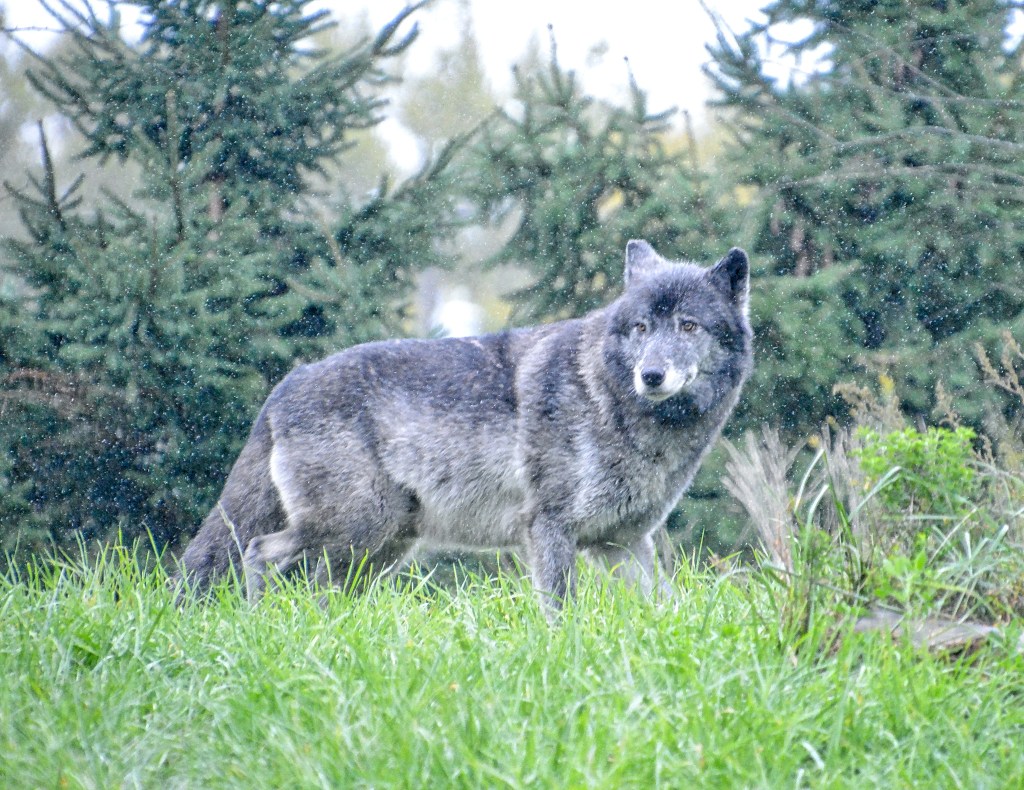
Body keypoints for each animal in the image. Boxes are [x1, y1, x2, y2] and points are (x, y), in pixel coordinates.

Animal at [176, 240, 753, 610]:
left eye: (688, 326)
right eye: (640, 328)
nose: (651, 375)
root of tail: (284, 385)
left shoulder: (623, 543)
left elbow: (666, 608)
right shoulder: (548, 527)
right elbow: (561, 610)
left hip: (376, 548)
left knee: (316, 587)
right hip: (353, 528)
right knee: (259, 552)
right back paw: (260, 622)